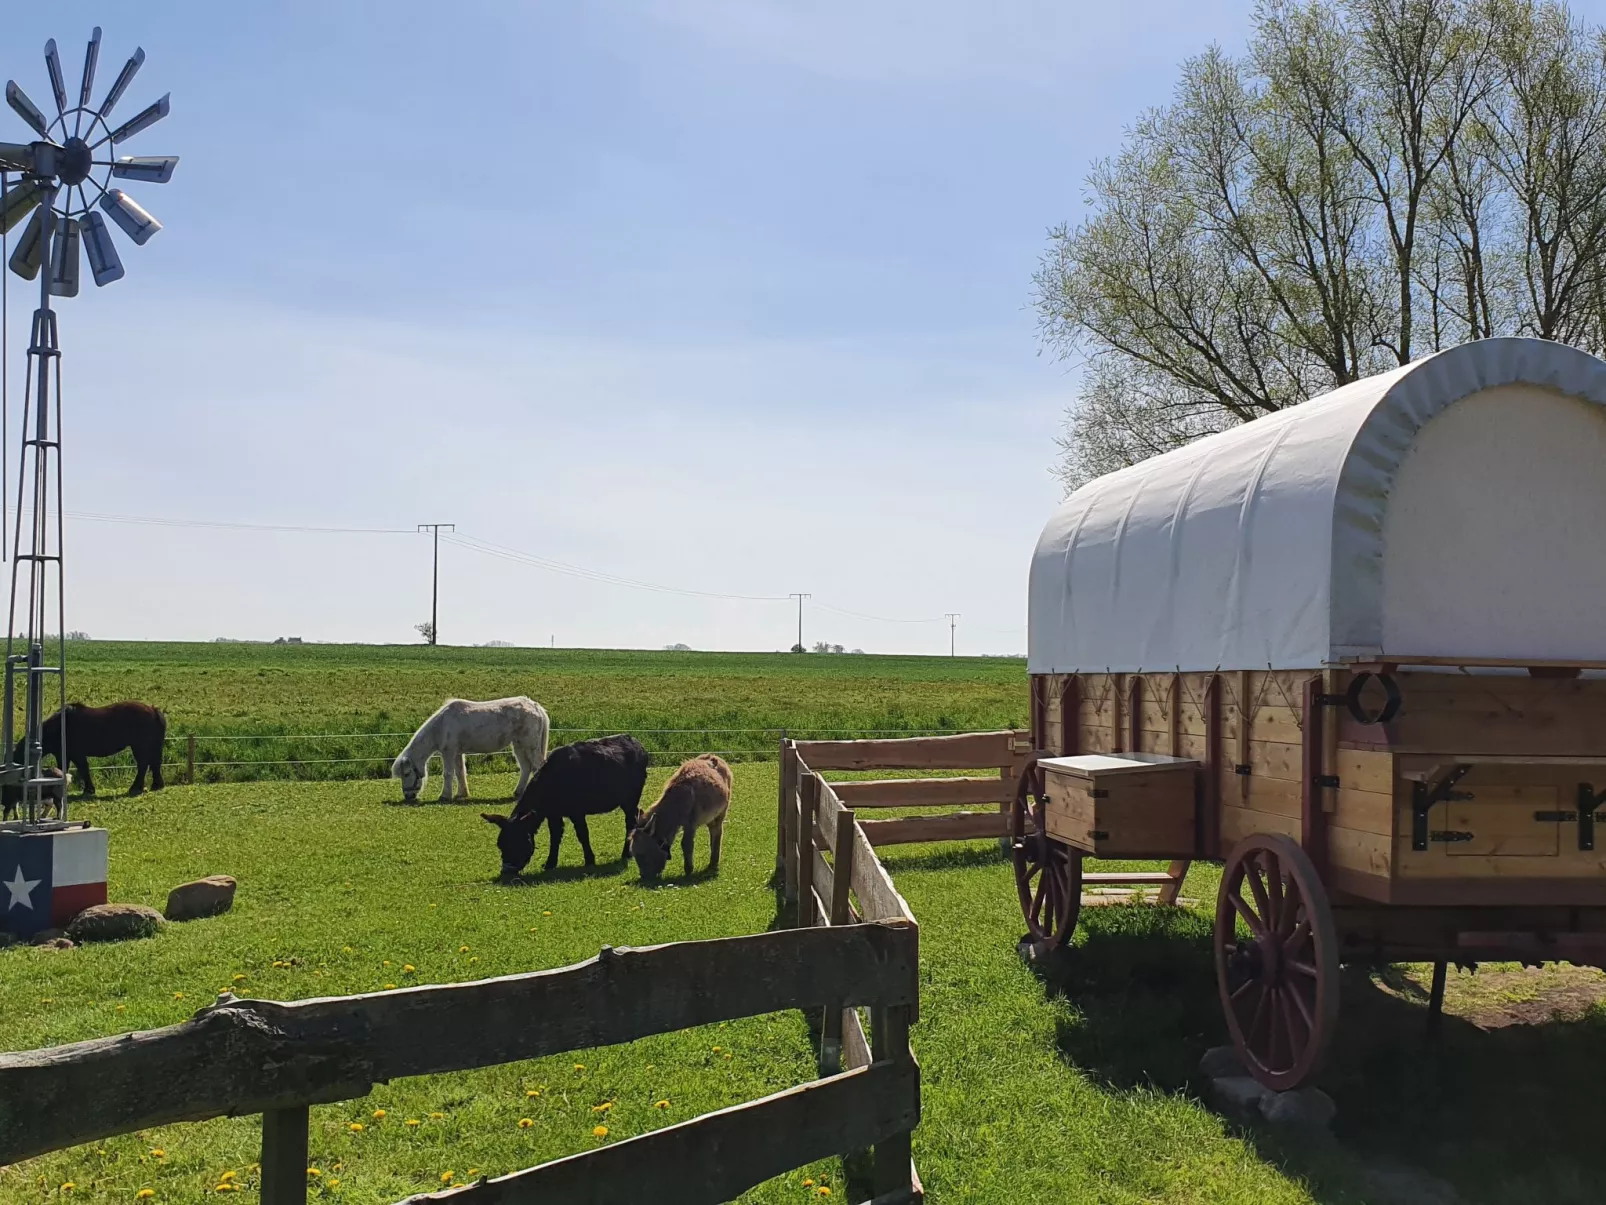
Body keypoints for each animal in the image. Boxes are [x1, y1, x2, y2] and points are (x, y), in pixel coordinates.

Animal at [12, 701, 167, 796]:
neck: (60, 727)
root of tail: (153, 709)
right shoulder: (63, 755)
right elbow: (63, 769)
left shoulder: (77, 754)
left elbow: (83, 769)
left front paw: (88, 790)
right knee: (152, 764)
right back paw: (154, 786)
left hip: (139, 746)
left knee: (143, 765)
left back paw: (135, 788)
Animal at [391, 697, 550, 803]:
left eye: (407, 773)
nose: (408, 796)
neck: (442, 725)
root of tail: (536, 707)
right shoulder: (457, 753)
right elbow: (460, 773)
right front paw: (461, 794)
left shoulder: (448, 752)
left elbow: (448, 774)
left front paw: (445, 796)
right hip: (519, 745)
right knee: (526, 768)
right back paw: (518, 792)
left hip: (530, 745)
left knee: (536, 766)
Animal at [482, 734, 649, 878]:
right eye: (500, 845)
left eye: (516, 843)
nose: (506, 871)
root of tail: (636, 742)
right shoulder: (553, 814)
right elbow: (555, 836)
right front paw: (550, 863)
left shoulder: (577, 812)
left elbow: (582, 835)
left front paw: (589, 860)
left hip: (630, 798)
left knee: (630, 822)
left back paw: (626, 854)